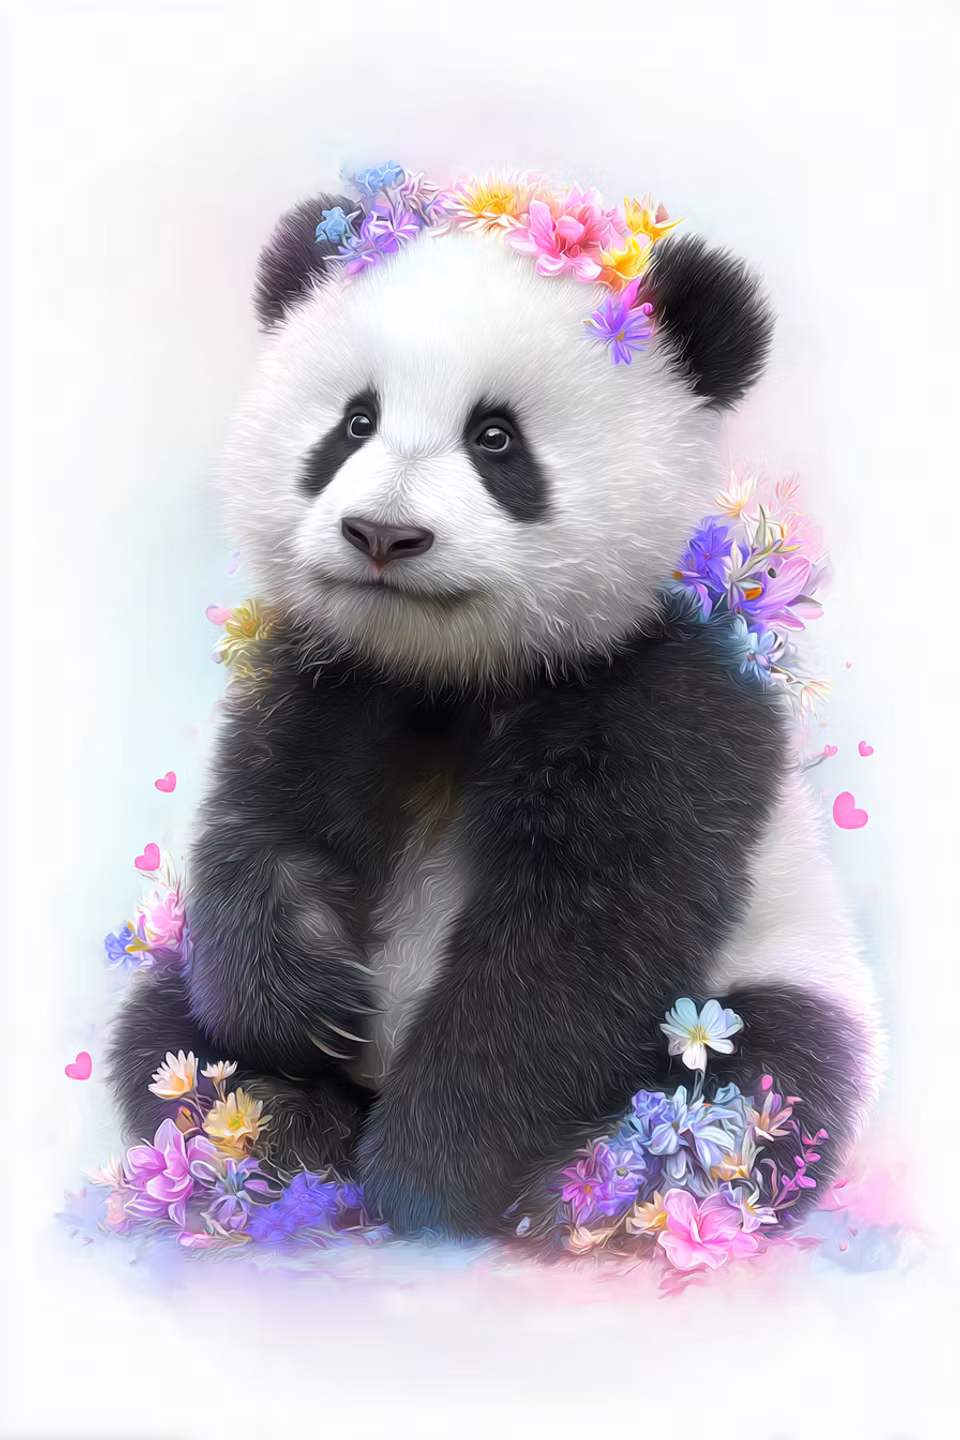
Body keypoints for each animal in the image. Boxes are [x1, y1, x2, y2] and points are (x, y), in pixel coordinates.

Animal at [109, 179, 884, 1238]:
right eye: (354, 424)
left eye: (496, 439)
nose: (382, 534)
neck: (459, 673)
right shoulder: (332, 677)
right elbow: (265, 821)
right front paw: (308, 1012)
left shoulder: (667, 706)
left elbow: (572, 950)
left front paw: (431, 1175)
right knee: (158, 1038)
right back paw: (278, 1126)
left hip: (779, 971)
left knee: (773, 1076)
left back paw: (585, 1195)